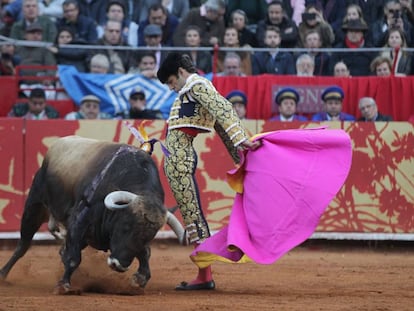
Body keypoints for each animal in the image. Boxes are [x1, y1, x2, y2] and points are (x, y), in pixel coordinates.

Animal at [0, 136, 185, 294]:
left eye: (150, 236)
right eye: (125, 226)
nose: (118, 266)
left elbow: (145, 254)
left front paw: (139, 279)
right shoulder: (79, 221)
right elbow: (73, 258)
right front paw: (63, 285)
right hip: (35, 206)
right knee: (23, 245)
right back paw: (3, 274)